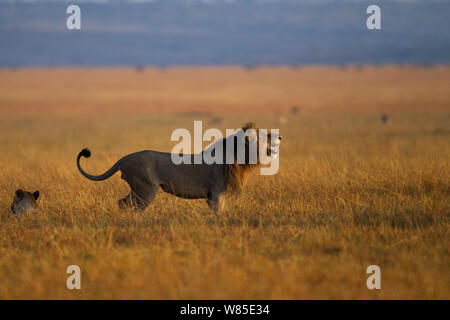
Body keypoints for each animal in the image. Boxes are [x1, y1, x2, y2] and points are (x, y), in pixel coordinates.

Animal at [77, 122, 282, 212]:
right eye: (265, 135)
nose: (280, 136)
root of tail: (123, 158)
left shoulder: (215, 195)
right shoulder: (216, 193)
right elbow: (218, 214)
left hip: (138, 189)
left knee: (122, 203)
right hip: (145, 189)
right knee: (131, 206)